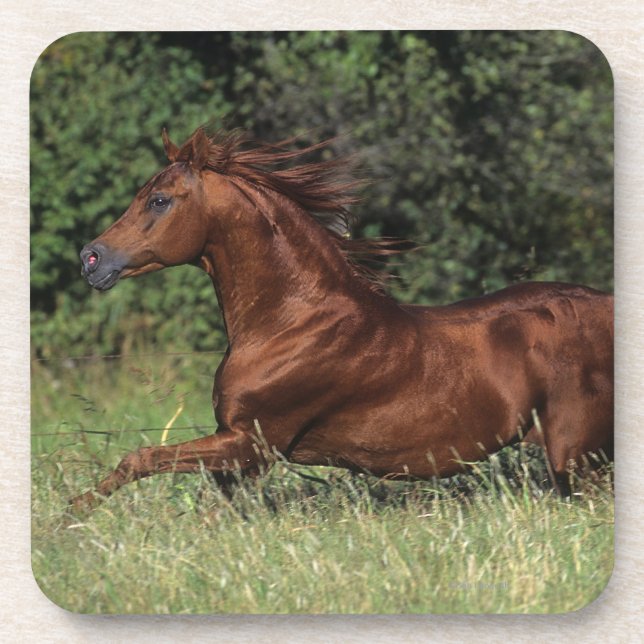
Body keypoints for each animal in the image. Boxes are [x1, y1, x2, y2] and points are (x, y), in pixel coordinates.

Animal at [71, 126, 613, 511]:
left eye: (158, 200)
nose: (91, 258)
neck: (292, 323)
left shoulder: (252, 443)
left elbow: (139, 458)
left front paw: (70, 516)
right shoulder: (241, 456)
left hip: (576, 457)